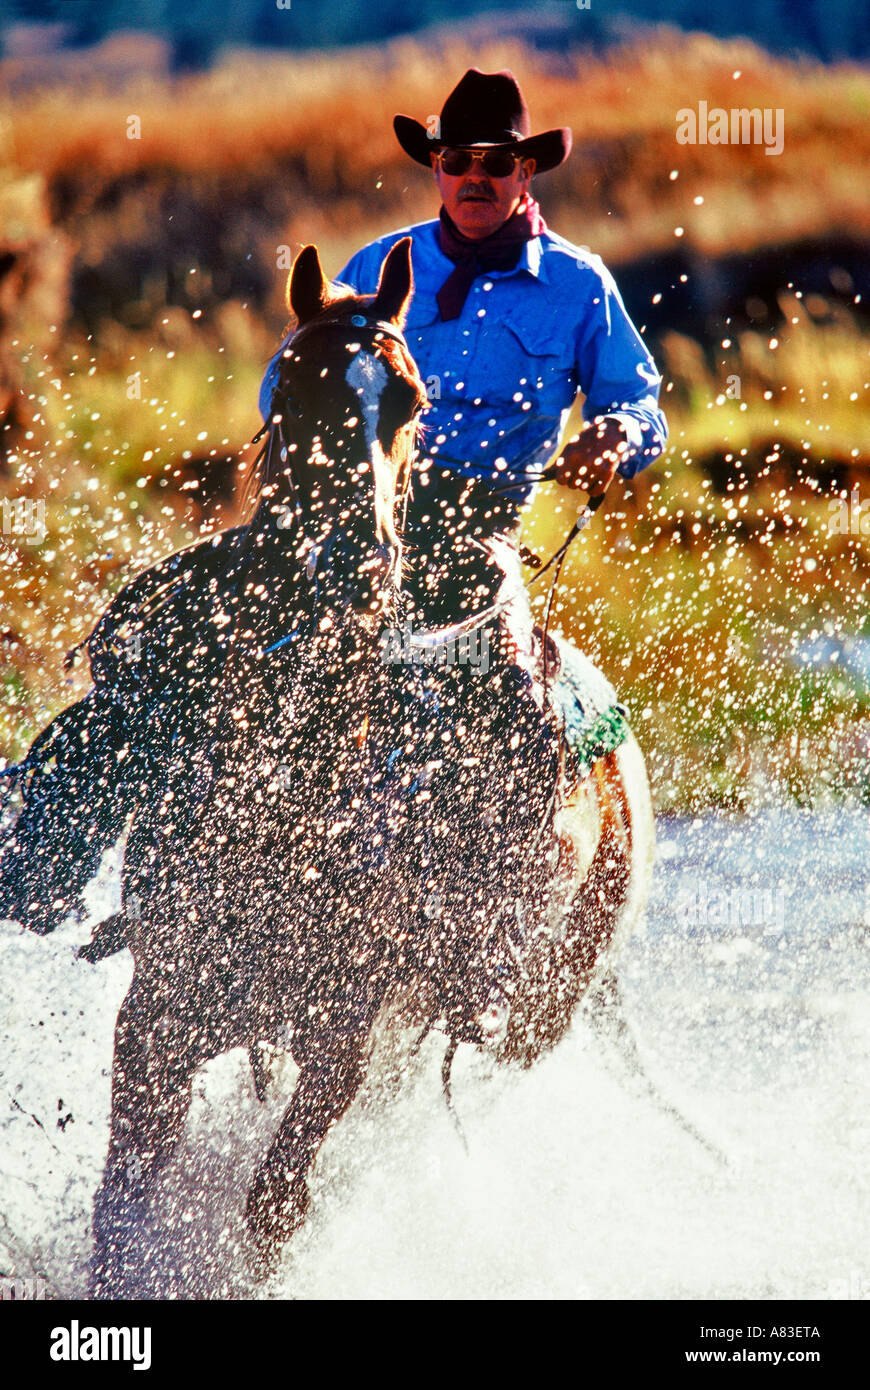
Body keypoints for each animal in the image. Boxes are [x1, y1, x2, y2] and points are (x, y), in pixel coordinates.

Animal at [77, 236, 654, 1296]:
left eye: (409, 398)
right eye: (294, 382)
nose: (355, 553)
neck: (285, 799)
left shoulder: (345, 1029)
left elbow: (274, 1206)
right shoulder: (160, 1009)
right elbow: (124, 1199)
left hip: (524, 1008)